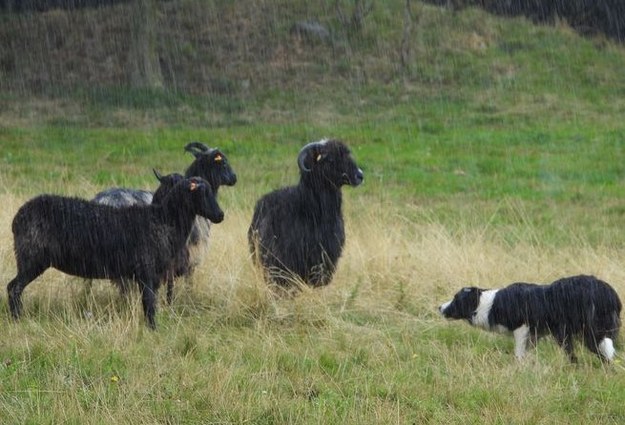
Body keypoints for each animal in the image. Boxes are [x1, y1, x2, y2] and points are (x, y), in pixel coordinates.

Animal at [7, 176, 223, 328]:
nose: (220, 215)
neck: (164, 219)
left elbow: (150, 304)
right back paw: (17, 319)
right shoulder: (146, 271)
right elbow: (149, 305)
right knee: (14, 288)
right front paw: (153, 330)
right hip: (31, 257)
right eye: (202, 193)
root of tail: (18, 217)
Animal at [438, 274, 620, 362]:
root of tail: (608, 293)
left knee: (602, 356)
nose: (439, 307)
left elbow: (518, 355)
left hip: (583, 334)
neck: (490, 304)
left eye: (455, 299)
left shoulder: (522, 329)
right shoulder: (534, 336)